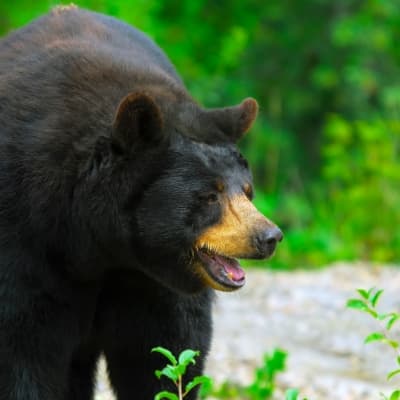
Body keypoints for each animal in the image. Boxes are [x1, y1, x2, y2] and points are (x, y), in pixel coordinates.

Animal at [0, 5, 282, 400]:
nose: (269, 236)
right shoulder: (23, 236)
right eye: (210, 195)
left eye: (246, 190)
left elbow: (166, 351)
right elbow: (23, 349)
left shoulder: (151, 281)